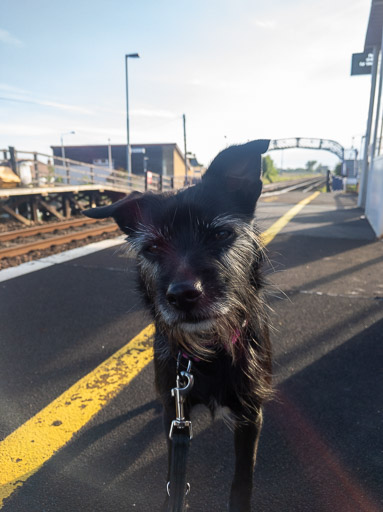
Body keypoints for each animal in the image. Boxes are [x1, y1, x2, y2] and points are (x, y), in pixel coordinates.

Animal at [85, 140, 274, 512]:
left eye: (220, 233)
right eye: (153, 246)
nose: (183, 295)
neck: (210, 351)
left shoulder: (250, 415)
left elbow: (243, 480)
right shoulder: (174, 411)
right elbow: (172, 476)